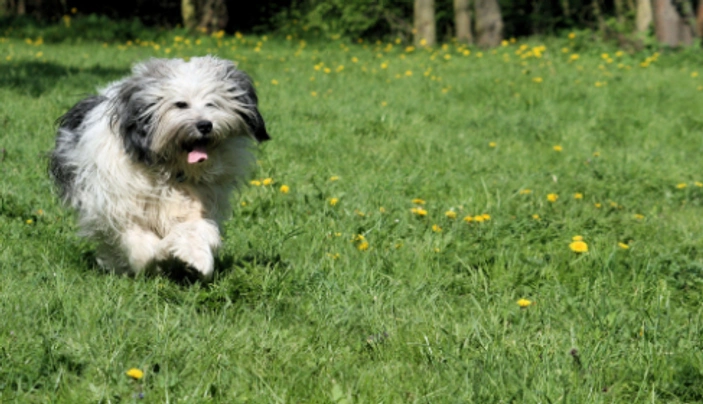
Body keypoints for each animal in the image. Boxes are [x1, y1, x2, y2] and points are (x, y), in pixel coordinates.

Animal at [49, 55, 270, 280]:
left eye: (212, 103)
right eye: (180, 104)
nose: (205, 125)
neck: (169, 170)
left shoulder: (198, 202)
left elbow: (195, 228)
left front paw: (196, 258)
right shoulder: (120, 206)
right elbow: (139, 241)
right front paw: (161, 252)